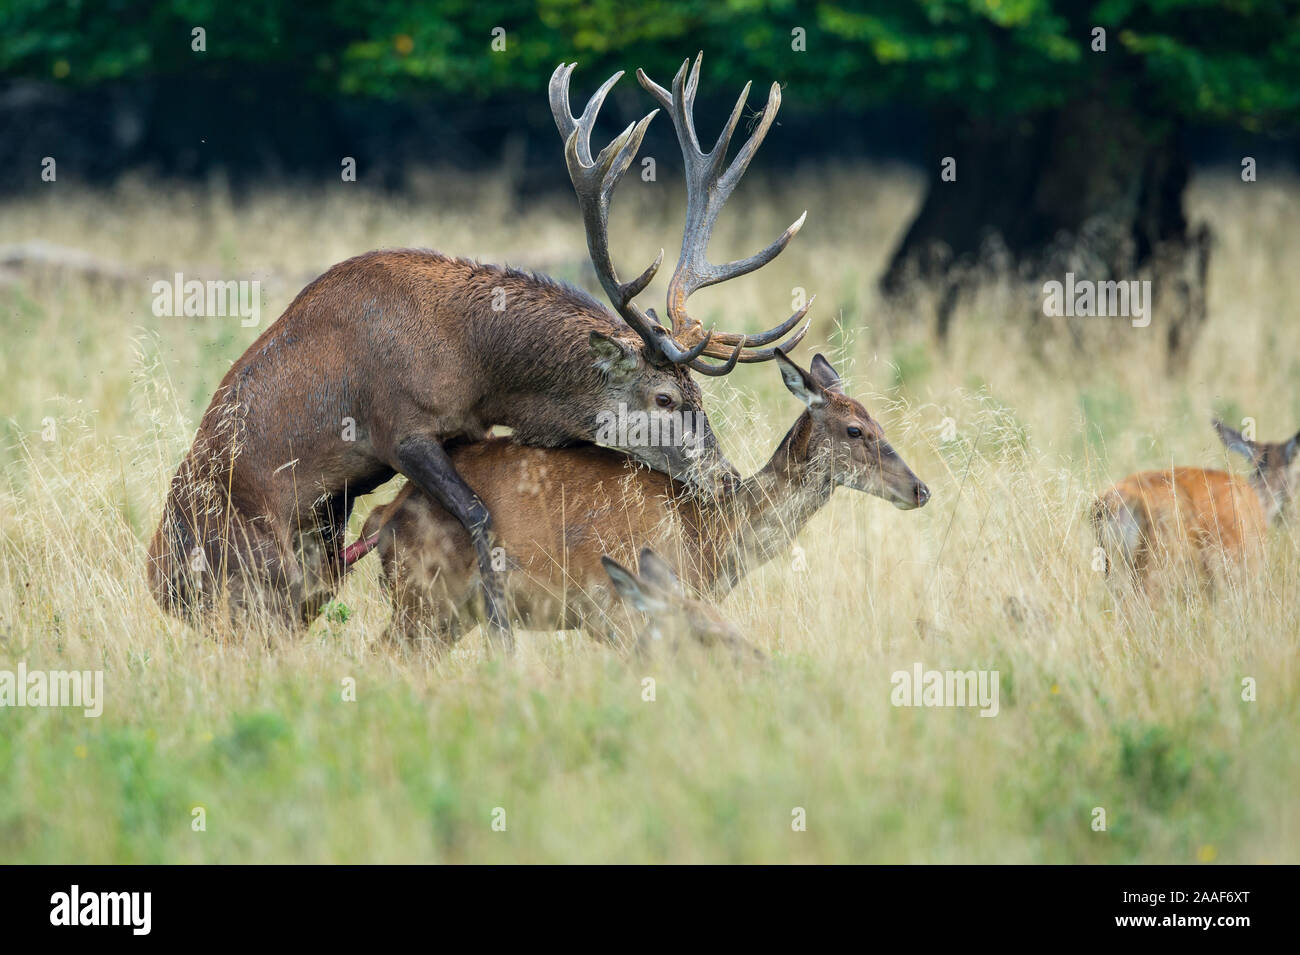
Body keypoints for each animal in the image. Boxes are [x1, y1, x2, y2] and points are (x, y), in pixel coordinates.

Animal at [147, 54, 806, 649]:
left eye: (700, 392)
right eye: (665, 397)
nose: (724, 477)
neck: (476, 366)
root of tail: (155, 585)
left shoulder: (470, 429)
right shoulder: (398, 427)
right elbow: (480, 517)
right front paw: (501, 636)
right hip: (247, 562)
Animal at [353, 348, 925, 649]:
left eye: (877, 420)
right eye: (855, 430)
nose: (920, 489)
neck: (708, 535)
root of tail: (383, 516)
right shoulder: (620, 610)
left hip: (449, 614)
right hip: (423, 599)